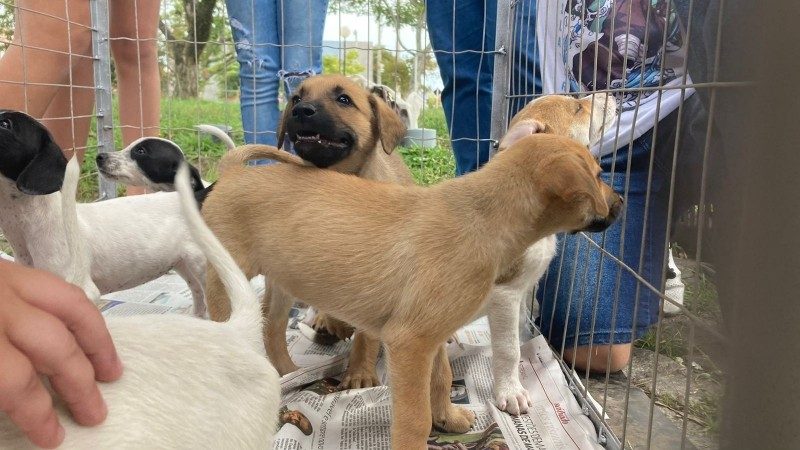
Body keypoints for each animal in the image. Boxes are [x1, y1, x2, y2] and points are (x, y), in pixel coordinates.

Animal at [202, 133, 624, 446]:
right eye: (598, 174)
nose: (621, 202)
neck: (484, 218)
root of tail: (232, 172)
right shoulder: (410, 341)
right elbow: (414, 417)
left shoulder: (431, 335)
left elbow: (441, 379)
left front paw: (448, 417)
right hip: (228, 280)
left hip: (284, 279)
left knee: (272, 325)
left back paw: (287, 371)